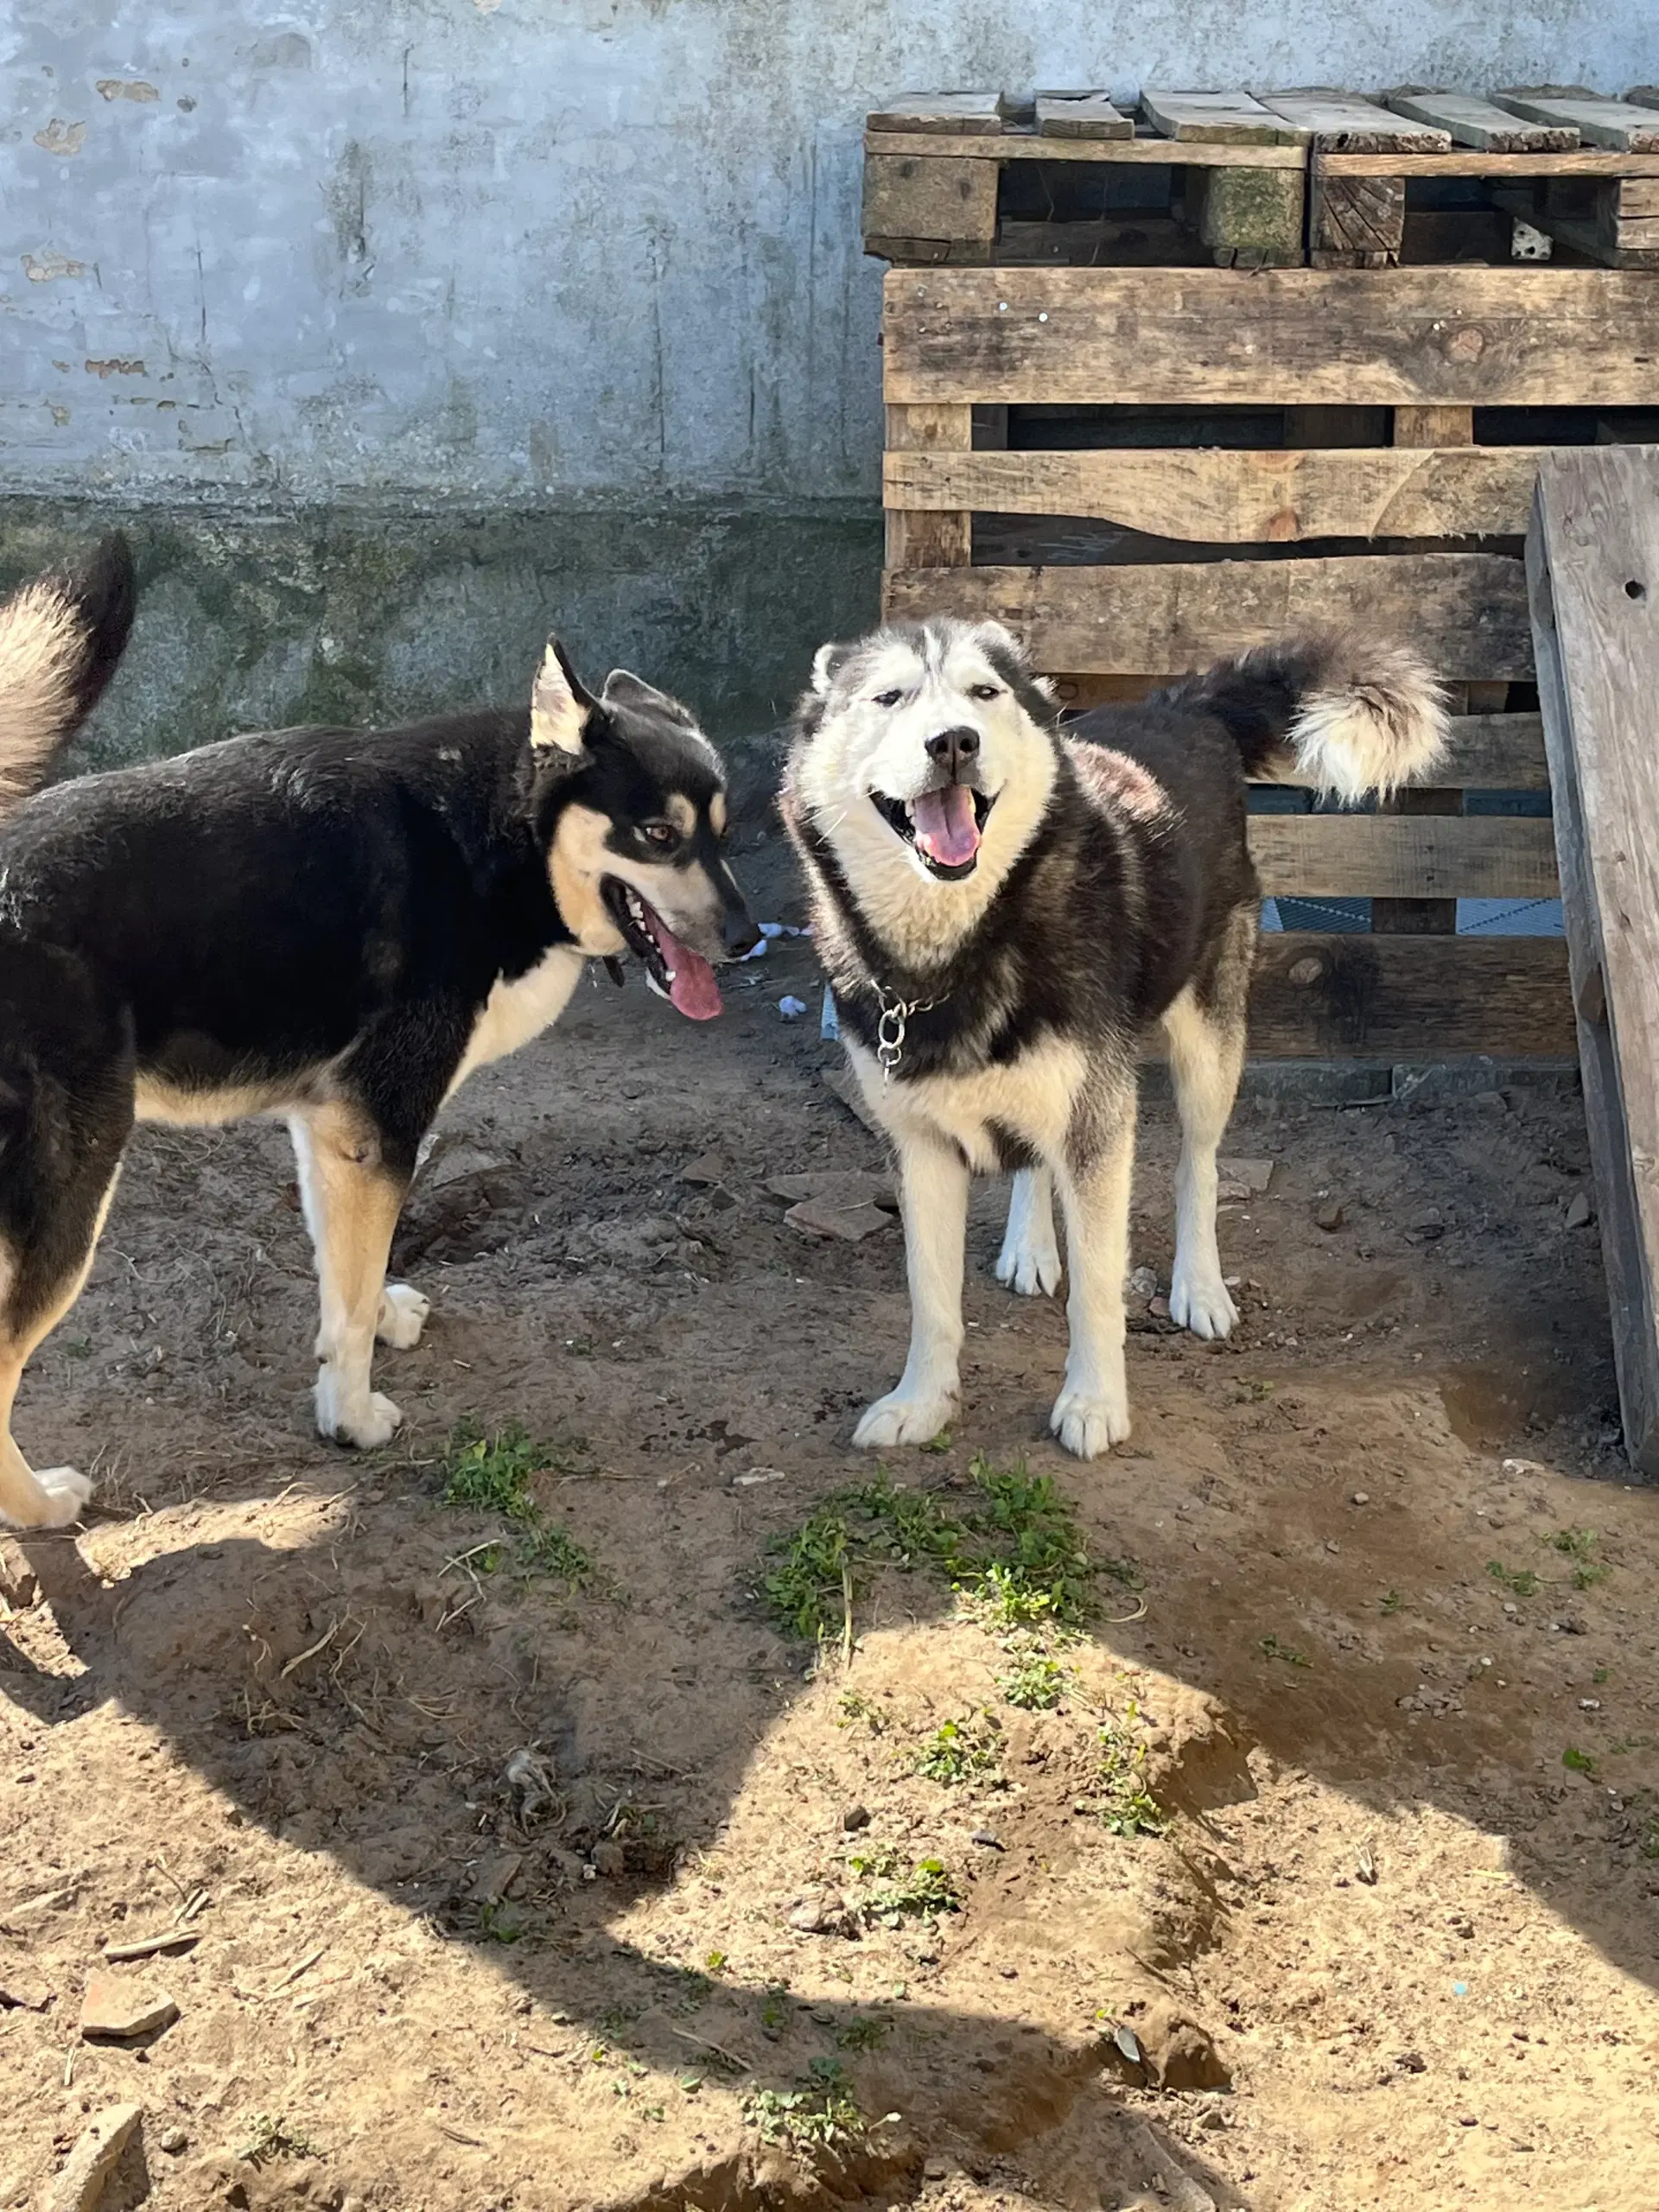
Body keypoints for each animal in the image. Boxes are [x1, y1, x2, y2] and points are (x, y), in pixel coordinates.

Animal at [0, 543, 765, 1530]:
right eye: (660, 834)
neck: (503, 834)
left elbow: (345, 1284)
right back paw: (36, 1505)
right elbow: (355, 1295)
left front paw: (366, 1343)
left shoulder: (330, 1130)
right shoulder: (379, 1129)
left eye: (724, 836)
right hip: (72, 1191)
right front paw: (353, 1417)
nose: (751, 939)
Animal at [787, 614, 1451, 1459]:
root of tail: (1184, 703)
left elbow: (1098, 1289)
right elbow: (931, 1298)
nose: (954, 743)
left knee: (1198, 1167)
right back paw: (1031, 1247)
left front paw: (1095, 1402)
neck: (962, 948)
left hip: (1206, 1046)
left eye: (983, 692)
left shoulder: (1100, 1125)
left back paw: (1199, 1286)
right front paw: (922, 1403)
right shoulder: (920, 1144)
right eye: (888, 697)